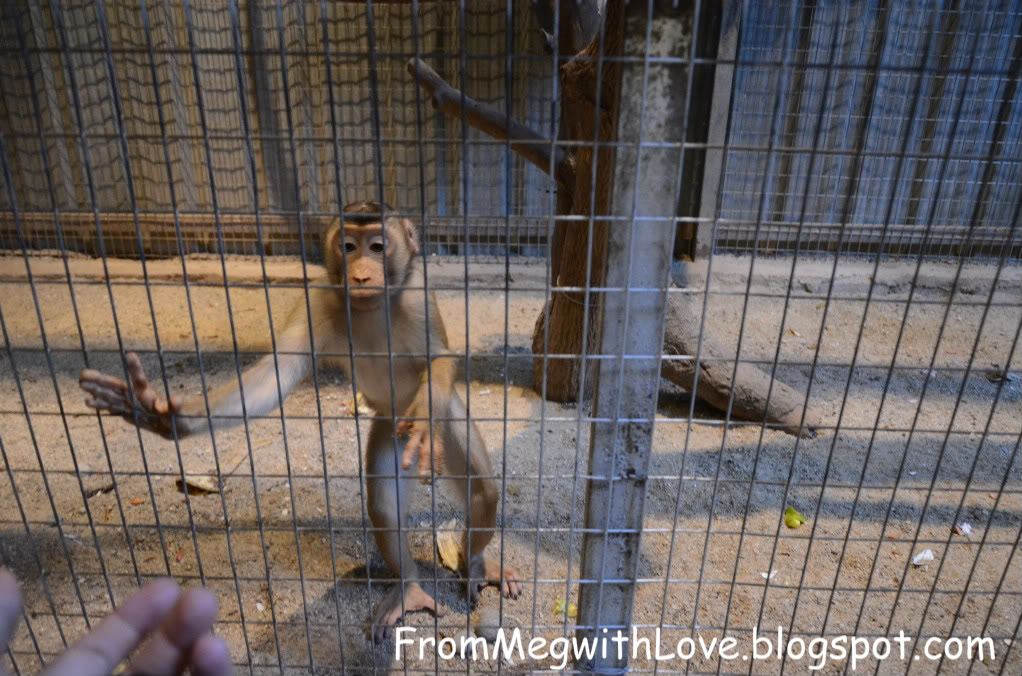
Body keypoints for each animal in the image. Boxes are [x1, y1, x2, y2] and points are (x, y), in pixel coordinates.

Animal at [79, 199, 523, 638]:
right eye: (348, 246)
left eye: (377, 246)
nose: (362, 273)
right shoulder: (317, 301)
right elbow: (274, 377)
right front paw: (162, 416)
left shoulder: (418, 297)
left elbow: (440, 358)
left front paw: (426, 416)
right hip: (387, 430)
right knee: (384, 510)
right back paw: (410, 588)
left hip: (444, 423)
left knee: (483, 493)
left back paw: (476, 563)